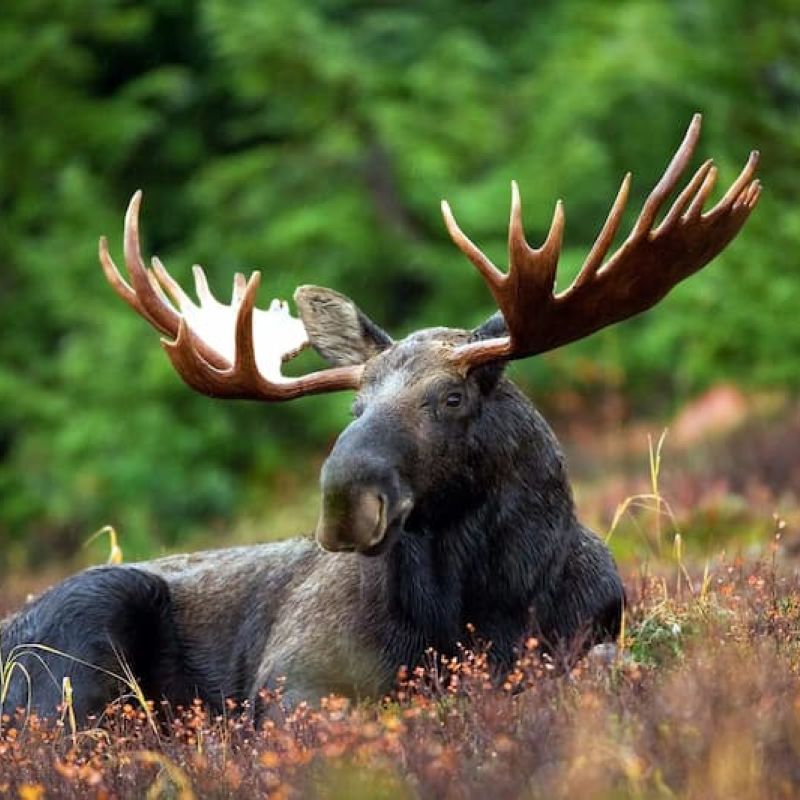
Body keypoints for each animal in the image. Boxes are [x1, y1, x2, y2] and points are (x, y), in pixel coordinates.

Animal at [0, 115, 760, 721]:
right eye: (355, 405)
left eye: (452, 398)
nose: (345, 501)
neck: (482, 607)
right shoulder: (292, 678)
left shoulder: (592, 635)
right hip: (77, 635)